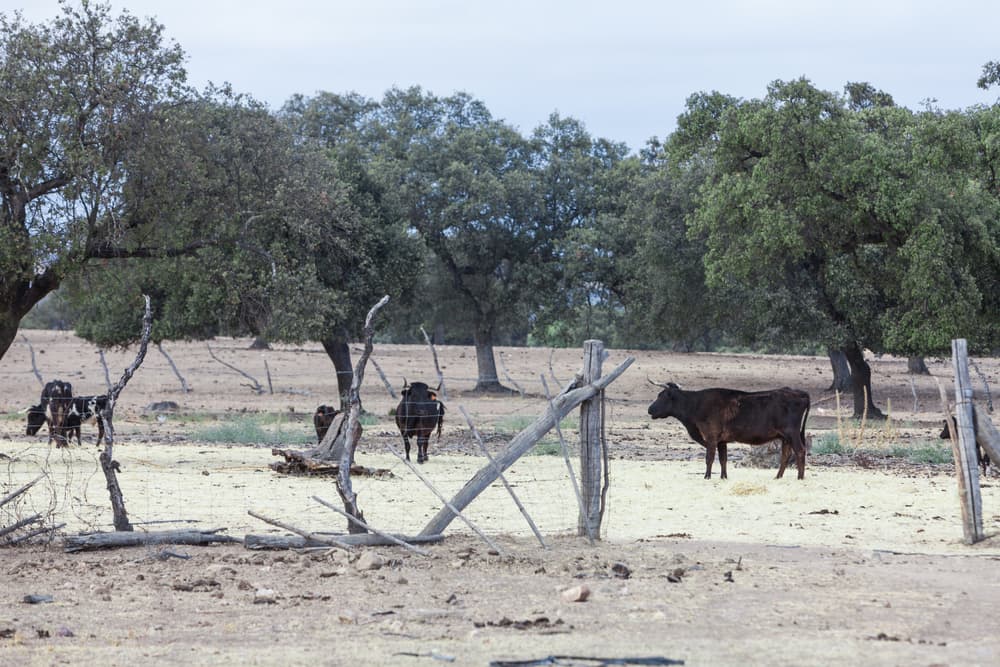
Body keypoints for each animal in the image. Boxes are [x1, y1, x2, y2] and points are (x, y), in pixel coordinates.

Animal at [648, 382, 811, 480]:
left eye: (661, 396)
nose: (649, 409)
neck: (696, 405)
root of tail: (799, 393)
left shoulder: (711, 437)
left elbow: (709, 458)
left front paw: (707, 477)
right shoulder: (722, 441)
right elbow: (723, 459)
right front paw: (723, 477)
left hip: (792, 433)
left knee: (800, 451)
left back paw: (800, 477)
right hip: (785, 437)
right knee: (785, 455)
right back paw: (778, 477)